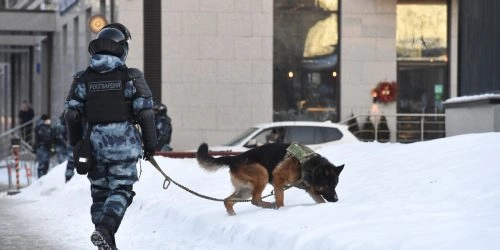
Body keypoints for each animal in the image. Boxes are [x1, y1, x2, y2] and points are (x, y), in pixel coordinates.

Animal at [195, 143, 344, 215]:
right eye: (328, 186)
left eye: (335, 185)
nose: (337, 200)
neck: (309, 165)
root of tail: (235, 158)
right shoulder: (278, 177)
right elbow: (280, 200)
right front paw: (280, 208)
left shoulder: (312, 191)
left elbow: (321, 201)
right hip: (263, 174)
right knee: (255, 200)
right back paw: (270, 206)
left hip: (245, 191)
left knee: (228, 201)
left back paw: (232, 216)